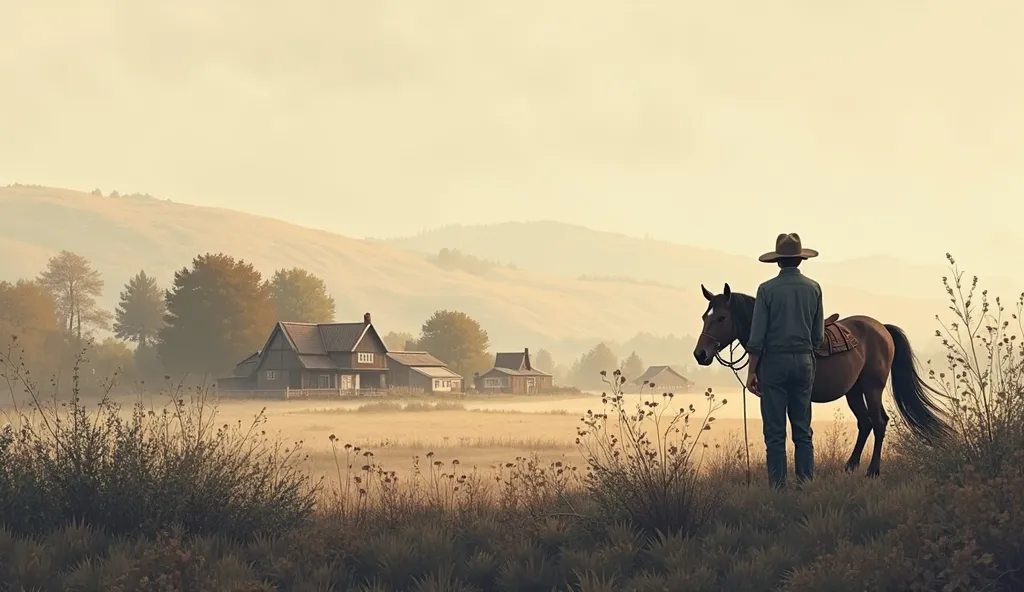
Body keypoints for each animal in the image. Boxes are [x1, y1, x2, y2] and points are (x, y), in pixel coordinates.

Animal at [692, 280, 946, 475]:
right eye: (704, 317)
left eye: (722, 318)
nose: (700, 354)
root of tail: (882, 328)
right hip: (854, 392)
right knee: (865, 423)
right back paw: (850, 466)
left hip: (872, 387)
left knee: (879, 422)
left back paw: (872, 470)